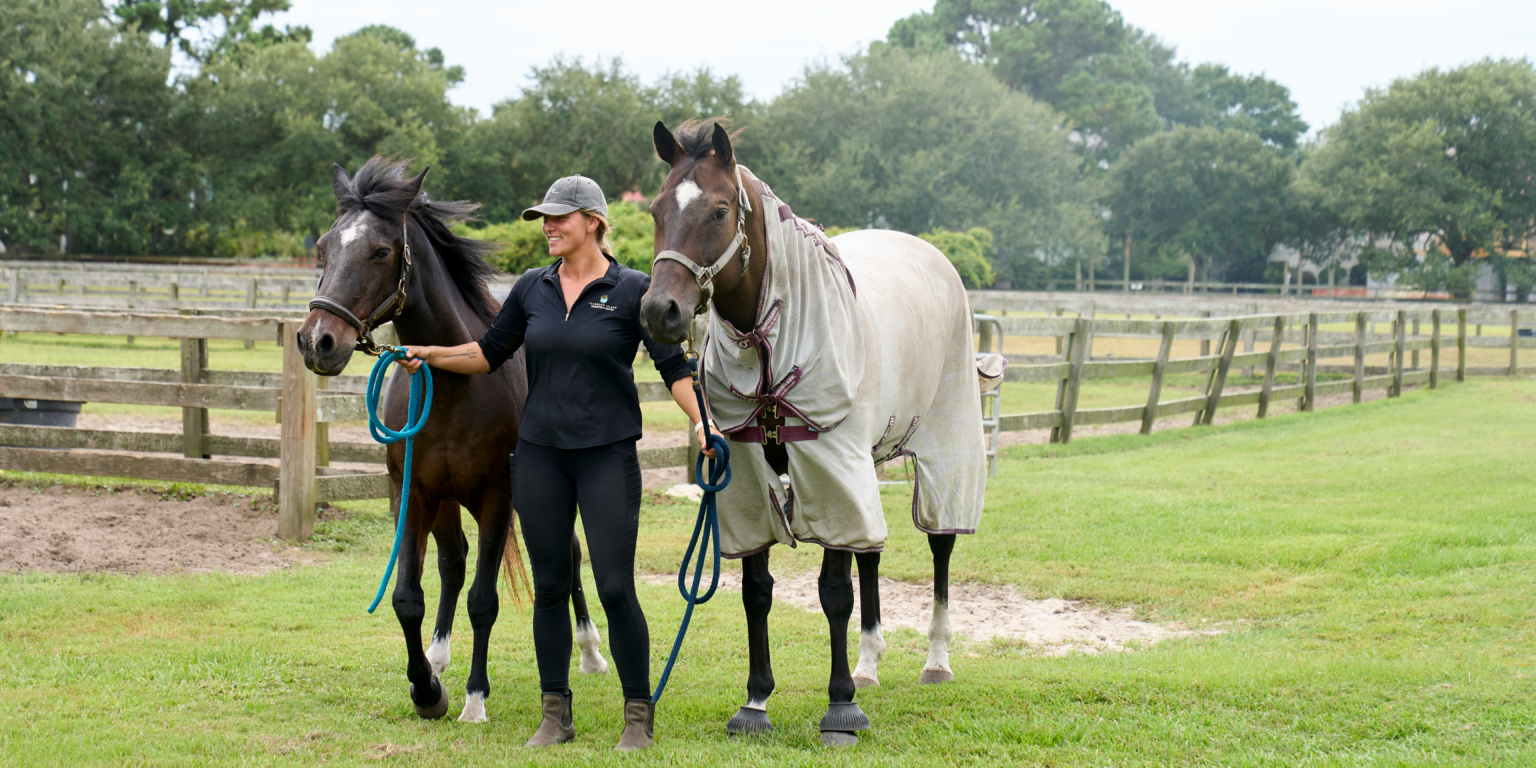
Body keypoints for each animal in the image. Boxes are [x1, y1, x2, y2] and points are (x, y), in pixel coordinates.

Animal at [297, 156, 609, 724]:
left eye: (380, 251)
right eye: (324, 247)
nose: (316, 341)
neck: (453, 388)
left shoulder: (497, 497)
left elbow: (484, 601)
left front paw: (474, 699)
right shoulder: (413, 494)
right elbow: (408, 597)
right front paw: (427, 689)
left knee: (570, 554)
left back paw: (591, 650)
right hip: (443, 502)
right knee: (454, 561)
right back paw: (438, 656)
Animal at [640, 120, 994, 745]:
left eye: (719, 210)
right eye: (658, 209)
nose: (661, 312)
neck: (771, 339)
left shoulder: (827, 469)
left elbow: (833, 593)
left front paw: (840, 709)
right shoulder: (747, 478)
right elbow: (758, 592)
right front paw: (756, 702)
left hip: (944, 449)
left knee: (940, 543)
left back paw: (936, 661)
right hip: (865, 461)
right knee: (871, 553)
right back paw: (870, 664)